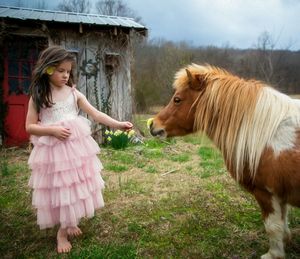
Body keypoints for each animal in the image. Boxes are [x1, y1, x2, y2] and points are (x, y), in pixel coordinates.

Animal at [149, 63, 300, 259]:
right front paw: (285, 241)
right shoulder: (280, 193)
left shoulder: (265, 192)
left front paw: (274, 254)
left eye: (177, 99)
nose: (153, 125)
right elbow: (283, 221)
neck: (268, 134)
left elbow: (272, 226)